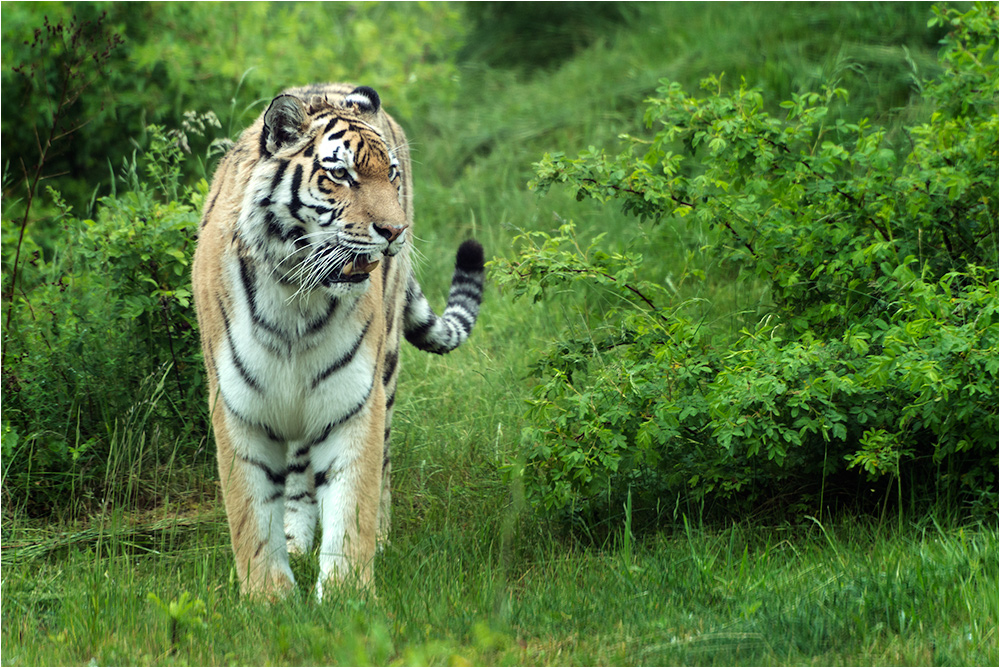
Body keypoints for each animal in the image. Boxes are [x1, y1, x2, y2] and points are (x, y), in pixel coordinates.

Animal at [190, 83, 484, 600]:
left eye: (390, 174)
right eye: (341, 174)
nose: (395, 232)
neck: (295, 298)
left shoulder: (352, 401)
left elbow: (352, 506)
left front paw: (348, 597)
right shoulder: (239, 407)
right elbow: (252, 514)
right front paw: (269, 599)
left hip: (385, 367)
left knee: (380, 464)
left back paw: (380, 538)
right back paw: (297, 540)